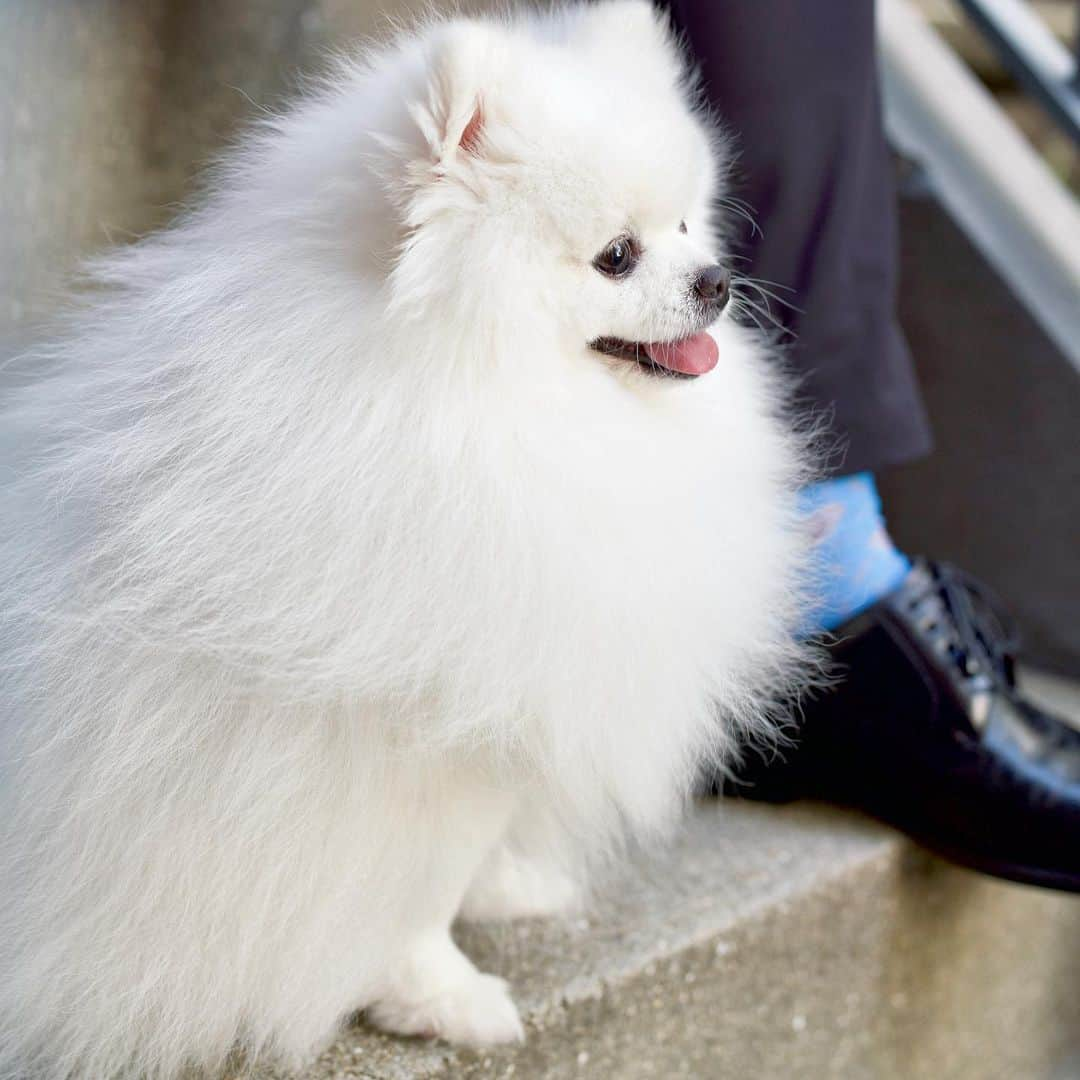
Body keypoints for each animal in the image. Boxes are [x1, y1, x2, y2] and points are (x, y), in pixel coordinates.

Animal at [0, 4, 812, 1075]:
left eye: (687, 225)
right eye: (616, 255)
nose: (716, 280)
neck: (474, 394)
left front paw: (507, 887)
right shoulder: (419, 737)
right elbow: (411, 900)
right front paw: (442, 998)